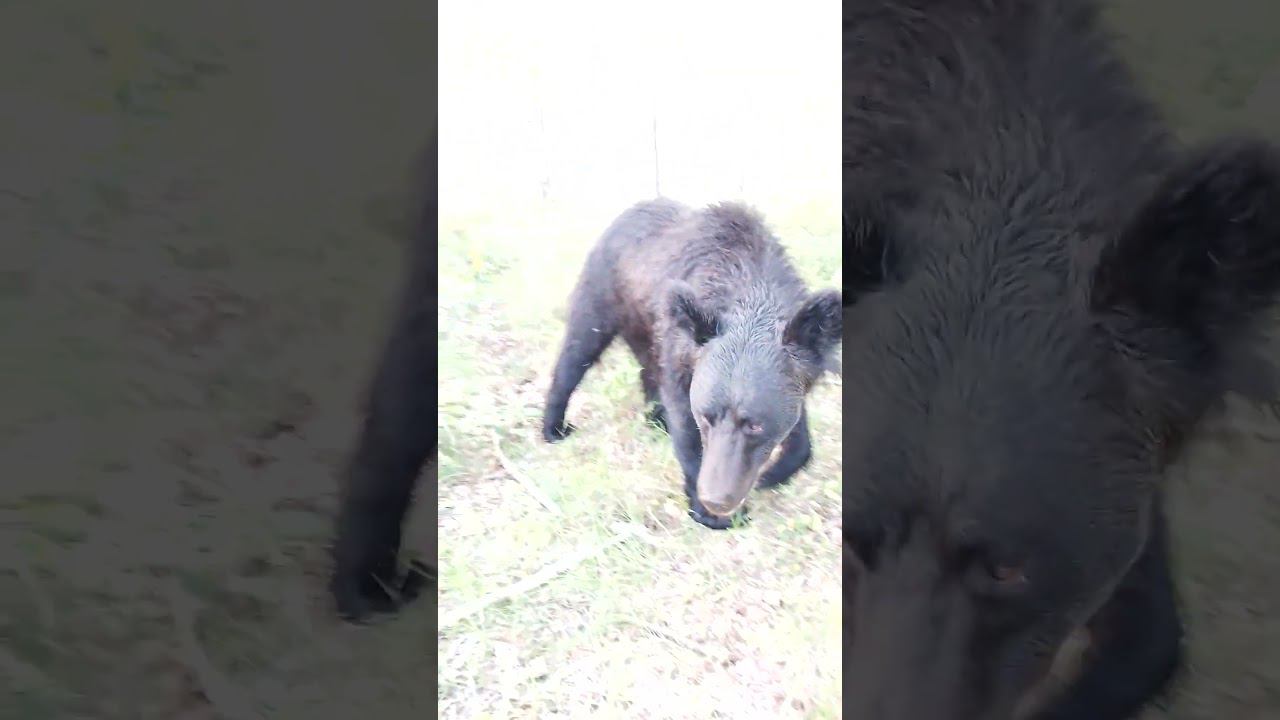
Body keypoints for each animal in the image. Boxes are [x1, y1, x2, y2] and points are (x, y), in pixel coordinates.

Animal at [541, 198, 842, 530]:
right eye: (706, 417)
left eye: (755, 425)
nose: (717, 500)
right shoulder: (681, 352)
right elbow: (686, 428)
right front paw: (711, 514)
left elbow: (796, 424)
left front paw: (773, 474)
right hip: (601, 297)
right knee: (576, 355)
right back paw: (554, 427)